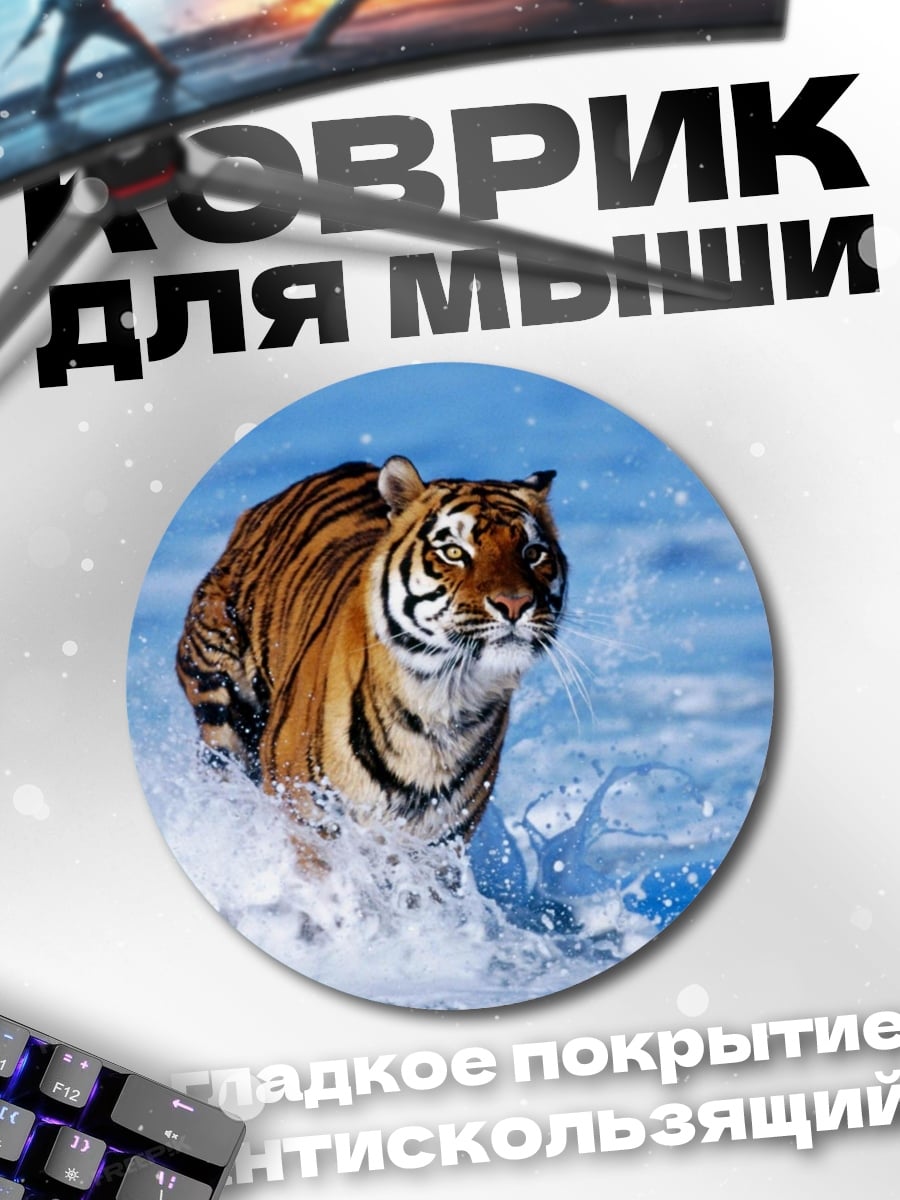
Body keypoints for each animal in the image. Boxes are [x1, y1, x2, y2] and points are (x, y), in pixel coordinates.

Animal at [175, 455, 567, 863]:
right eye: (454, 552)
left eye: (533, 553)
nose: (515, 603)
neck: (444, 702)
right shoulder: (307, 817)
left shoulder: (439, 844)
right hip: (222, 708)